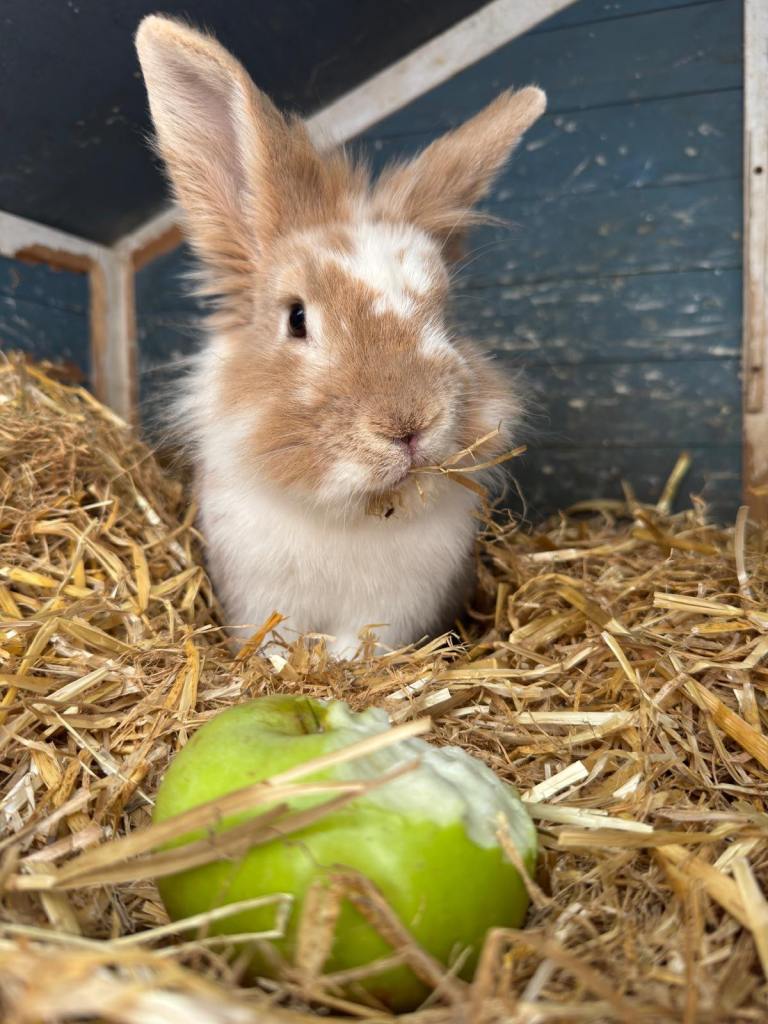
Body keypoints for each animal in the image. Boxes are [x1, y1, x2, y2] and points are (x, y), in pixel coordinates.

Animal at [135, 16, 546, 658]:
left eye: (445, 316)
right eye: (297, 318)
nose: (408, 426)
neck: (353, 513)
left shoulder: (395, 608)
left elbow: (361, 649)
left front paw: (340, 662)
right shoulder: (259, 596)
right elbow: (273, 647)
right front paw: (288, 664)